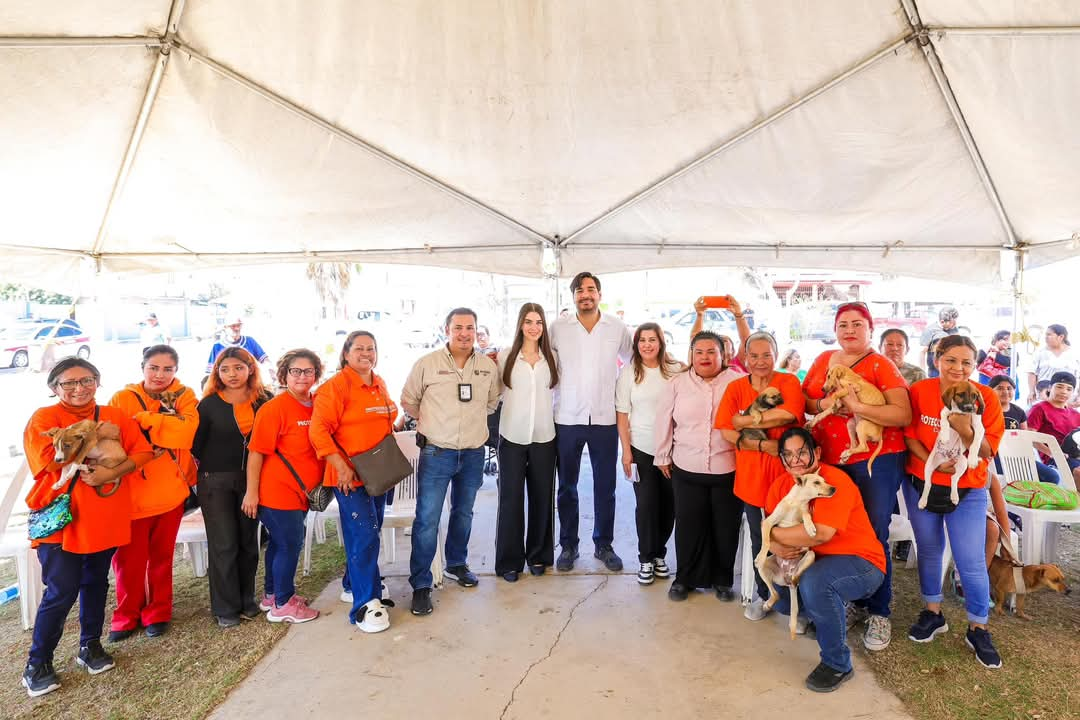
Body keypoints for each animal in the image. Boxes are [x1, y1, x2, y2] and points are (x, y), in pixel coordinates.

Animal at [756, 474, 838, 639]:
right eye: (816, 482)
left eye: (824, 480)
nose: (834, 488)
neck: (797, 502)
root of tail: (788, 578)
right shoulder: (768, 522)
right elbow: (766, 540)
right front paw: (761, 554)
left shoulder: (802, 516)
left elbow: (806, 514)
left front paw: (810, 527)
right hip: (764, 569)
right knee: (776, 594)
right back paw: (767, 603)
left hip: (810, 555)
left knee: (796, 579)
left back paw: (795, 579)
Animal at [924, 379, 984, 509]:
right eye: (960, 394)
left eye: (974, 396)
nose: (969, 408)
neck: (959, 411)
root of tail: (946, 458)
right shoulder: (945, 412)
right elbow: (944, 422)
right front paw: (945, 436)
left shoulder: (979, 427)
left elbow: (975, 443)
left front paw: (973, 459)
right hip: (929, 465)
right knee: (928, 484)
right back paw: (922, 501)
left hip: (963, 462)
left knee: (954, 478)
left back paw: (954, 497)